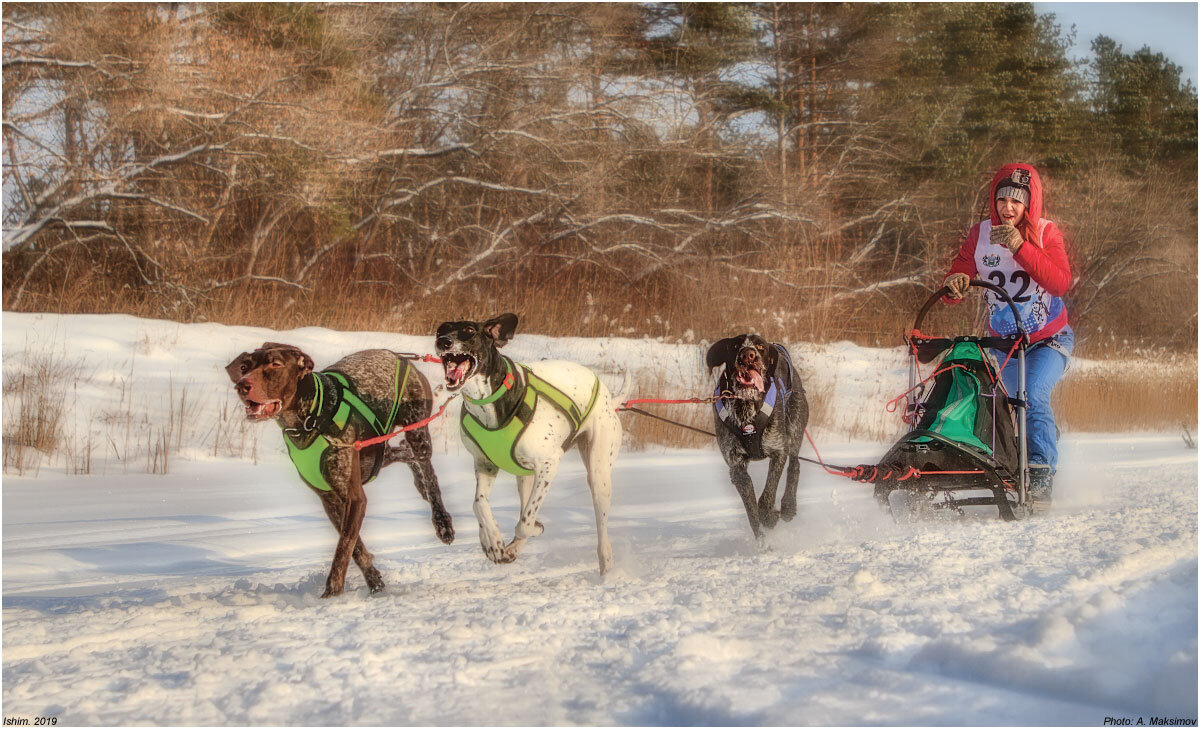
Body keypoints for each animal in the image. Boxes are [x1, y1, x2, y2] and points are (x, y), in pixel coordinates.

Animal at [225, 340, 453, 597]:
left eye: (276, 364)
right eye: (245, 366)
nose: (243, 386)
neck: (310, 418)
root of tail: (399, 356)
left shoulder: (354, 498)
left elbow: (343, 550)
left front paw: (331, 595)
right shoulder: (330, 500)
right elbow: (356, 548)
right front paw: (375, 583)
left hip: (417, 430)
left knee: (428, 471)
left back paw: (442, 522)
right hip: (375, 453)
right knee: (404, 453)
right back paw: (418, 482)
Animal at [434, 314, 619, 575]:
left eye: (469, 330)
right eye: (441, 329)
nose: (443, 341)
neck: (488, 402)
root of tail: (605, 392)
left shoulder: (549, 463)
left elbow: (526, 521)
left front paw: (531, 529)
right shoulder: (484, 463)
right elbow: (478, 503)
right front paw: (491, 540)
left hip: (598, 473)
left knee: (601, 528)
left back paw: (606, 569)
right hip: (524, 476)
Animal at [700, 335, 806, 541]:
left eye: (760, 347)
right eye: (734, 345)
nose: (748, 354)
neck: (745, 408)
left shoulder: (778, 451)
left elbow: (767, 494)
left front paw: (769, 516)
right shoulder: (737, 468)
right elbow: (751, 512)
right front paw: (762, 542)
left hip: (795, 427)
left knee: (795, 465)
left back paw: (788, 507)